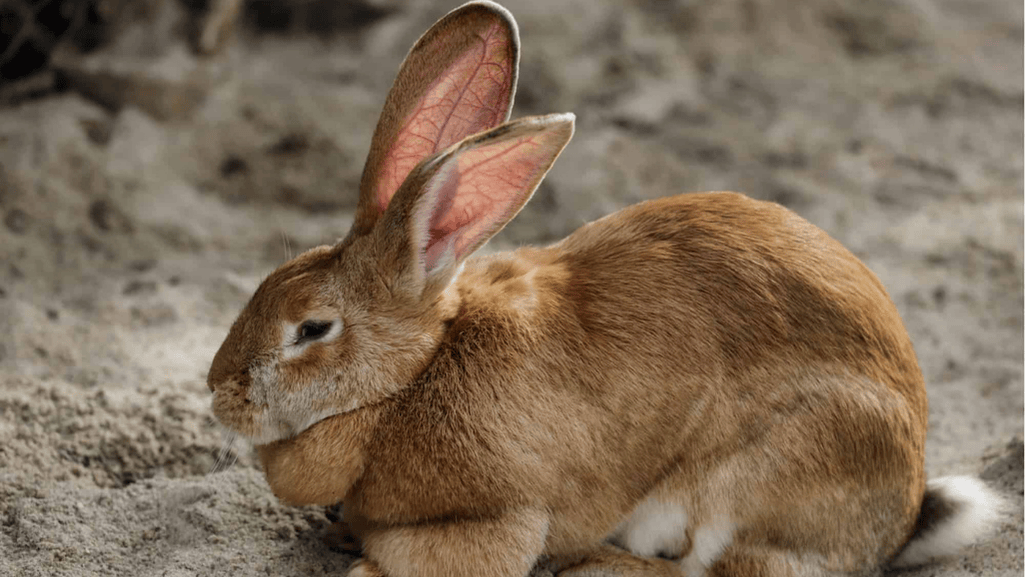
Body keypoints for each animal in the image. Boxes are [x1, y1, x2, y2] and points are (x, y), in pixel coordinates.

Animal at [206, 2, 1006, 576]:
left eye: (312, 329)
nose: (219, 392)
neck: (407, 380)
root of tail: (901, 512)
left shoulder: (496, 517)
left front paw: (364, 563)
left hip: (765, 472)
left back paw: (601, 564)